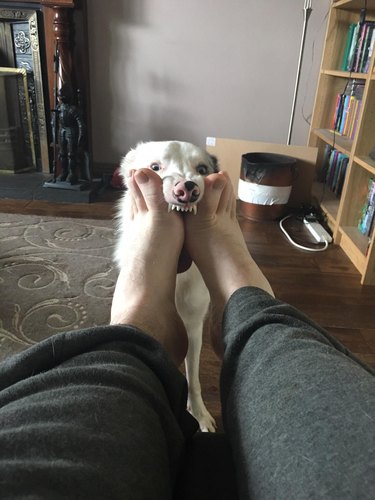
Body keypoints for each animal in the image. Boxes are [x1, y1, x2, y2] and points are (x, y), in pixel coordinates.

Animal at [116, 140, 219, 430]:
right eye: (154, 167)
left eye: (202, 169)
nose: (188, 189)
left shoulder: (194, 328)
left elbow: (194, 379)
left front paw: (199, 413)